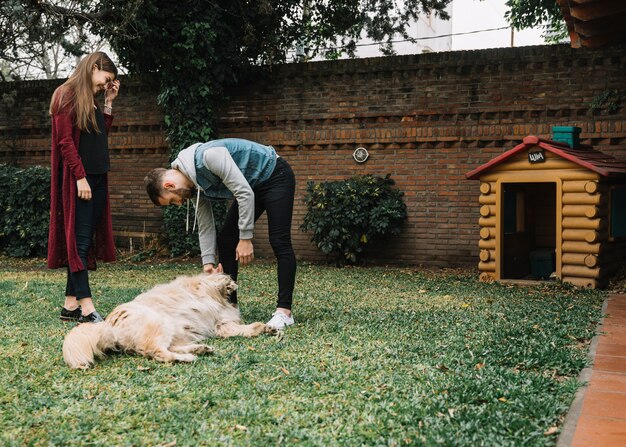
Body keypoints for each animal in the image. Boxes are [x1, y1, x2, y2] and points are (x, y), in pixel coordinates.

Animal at [62, 272, 274, 372]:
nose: (234, 290)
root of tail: (109, 324)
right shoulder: (200, 285)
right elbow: (210, 279)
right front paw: (227, 282)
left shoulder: (222, 324)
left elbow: (241, 328)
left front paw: (264, 328)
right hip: (159, 322)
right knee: (158, 353)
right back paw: (189, 357)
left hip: (174, 330)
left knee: (169, 348)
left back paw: (199, 349)